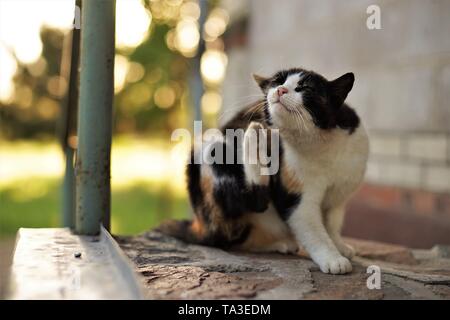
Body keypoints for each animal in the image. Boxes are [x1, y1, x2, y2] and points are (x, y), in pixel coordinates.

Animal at [158, 67, 370, 276]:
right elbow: (314, 232)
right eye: (277, 82)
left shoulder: (338, 198)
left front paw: (339, 246)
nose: (281, 90)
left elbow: (332, 224)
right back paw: (254, 139)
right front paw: (333, 259)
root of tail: (199, 225)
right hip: (210, 149)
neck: (320, 143)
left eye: (305, 88)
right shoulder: (295, 198)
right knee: (249, 208)